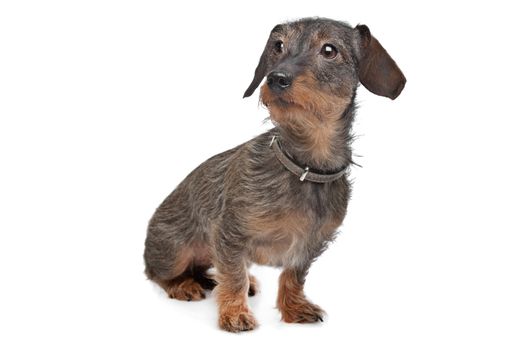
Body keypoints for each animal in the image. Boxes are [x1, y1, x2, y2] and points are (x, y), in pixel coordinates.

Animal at [143, 17, 406, 332]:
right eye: (278, 46)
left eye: (329, 50)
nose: (276, 78)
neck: (304, 167)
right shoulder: (229, 234)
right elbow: (233, 276)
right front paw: (234, 313)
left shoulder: (309, 246)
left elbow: (292, 277)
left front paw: (293, 308)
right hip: (175, 252)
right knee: (156, 272)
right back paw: (182, 284)